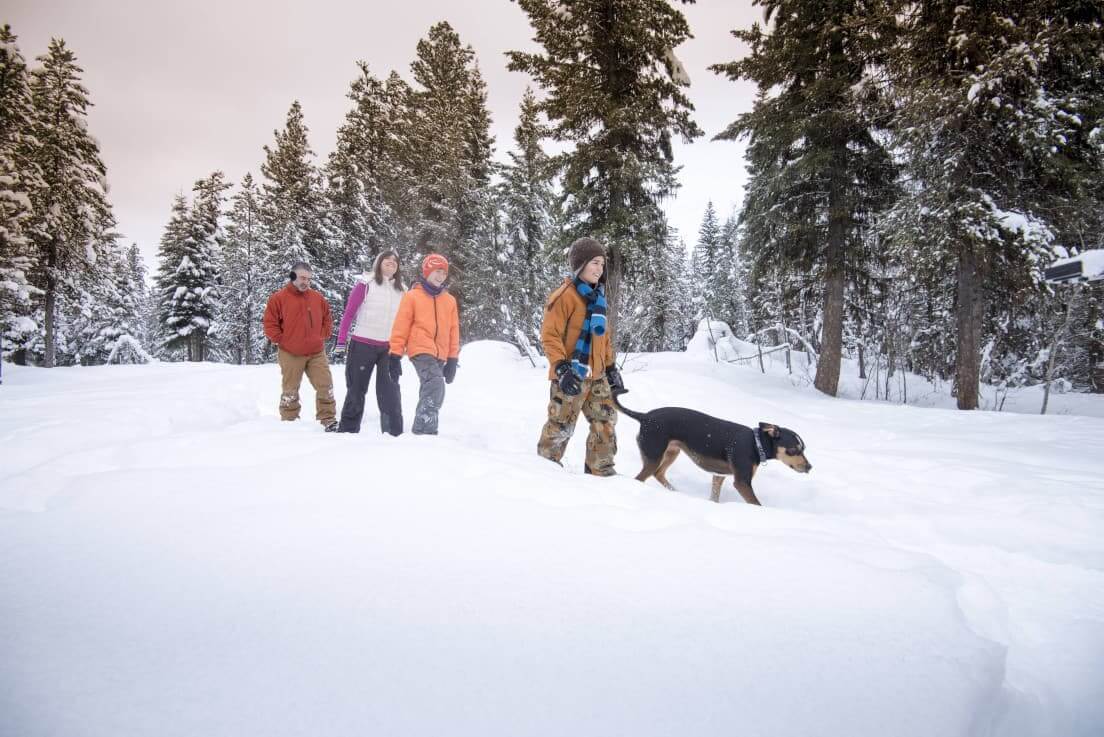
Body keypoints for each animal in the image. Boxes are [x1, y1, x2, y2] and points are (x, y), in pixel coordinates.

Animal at [613, 394, 812, 503]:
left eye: (804, 448)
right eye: (794, 449)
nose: (810, 467)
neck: (755, 444)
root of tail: (644, 417)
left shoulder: (719, 476)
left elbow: (714, 497)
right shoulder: (742, 482)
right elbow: (756, 503)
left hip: (671, 453)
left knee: (659, 474)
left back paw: (675, 492)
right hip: (654, 455)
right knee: (642, 478)